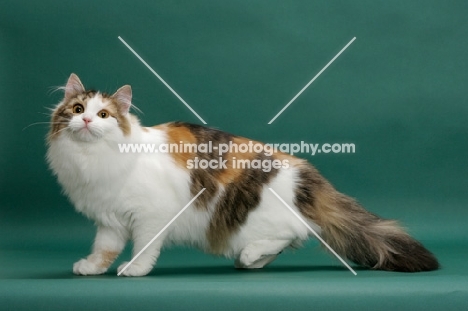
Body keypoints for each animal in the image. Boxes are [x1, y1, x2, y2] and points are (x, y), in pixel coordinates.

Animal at [46, 73, 438, 278]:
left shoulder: (151, 216)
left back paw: (250, 256)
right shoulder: (109, 219)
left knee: (298, 231)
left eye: (104, 115)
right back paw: (250, 260)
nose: (85, 120)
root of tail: (306, 177)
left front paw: (135, 268)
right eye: (78, 109)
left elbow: (143, 246)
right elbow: (104, 248)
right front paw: (92, 267)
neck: (90, 160)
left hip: (255, 216)